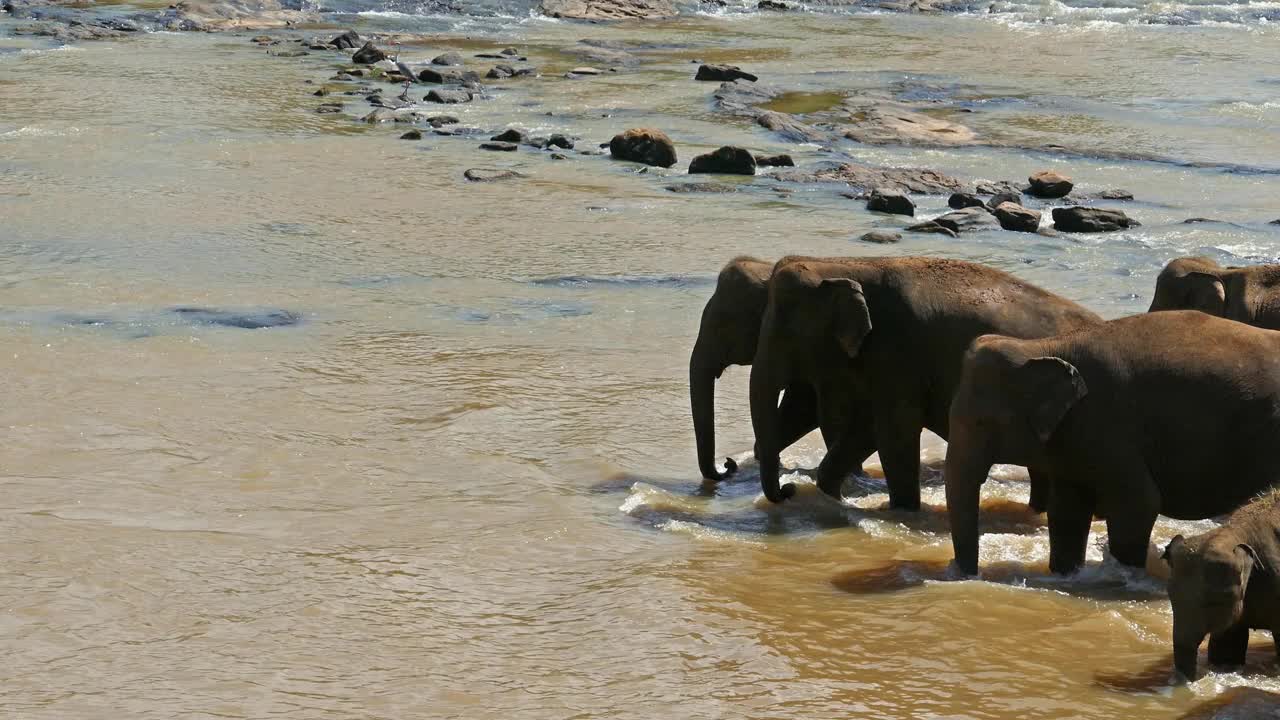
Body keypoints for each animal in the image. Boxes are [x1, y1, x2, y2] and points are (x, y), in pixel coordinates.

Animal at [747, 256, 1100, 504]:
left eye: (784, 332)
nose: (788, 489)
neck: (845, 264)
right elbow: (866, 429)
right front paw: (832, 496)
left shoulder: (900, 353)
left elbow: (894, 433)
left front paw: (902, 510)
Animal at [947, 311, 1280, 573]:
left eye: (982, 423)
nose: (967, 573)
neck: (1044, 345)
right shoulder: (1073, 439)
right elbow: (1067, 510)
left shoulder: (1110, 425)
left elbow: (1139, 503)